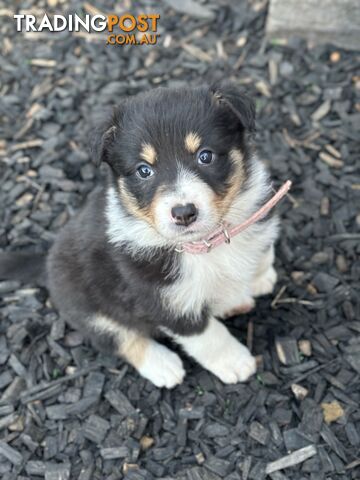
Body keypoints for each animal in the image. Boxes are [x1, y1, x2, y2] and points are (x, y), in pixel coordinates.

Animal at [5, 84, 282, 388]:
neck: (206, 243)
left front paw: (259, 278)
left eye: (205, 156)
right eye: (144, 170)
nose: (184, 213)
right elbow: (207, 336)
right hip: (86, 307)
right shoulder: (165, 301)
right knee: (119, 337)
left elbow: (263, 254)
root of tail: (47, 260)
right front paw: (234, 362)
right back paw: (162, 364)